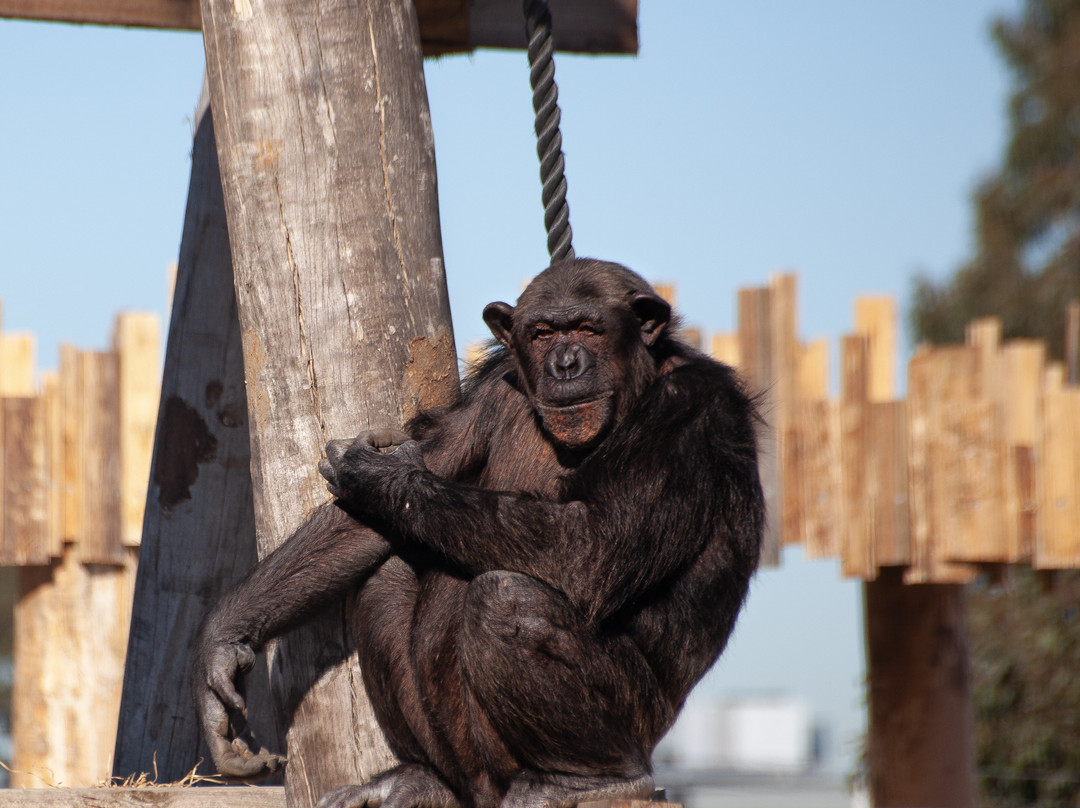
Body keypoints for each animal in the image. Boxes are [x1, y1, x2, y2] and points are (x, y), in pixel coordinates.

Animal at [194, 257, 768, 808]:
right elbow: (363, 524)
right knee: (388, 574)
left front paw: (379, 474)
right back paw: (419, 778)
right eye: (542, 333)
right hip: (466, 754)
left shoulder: (687, 409)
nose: (565, 364)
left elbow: (595, 543)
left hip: (634, 724)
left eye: (589, 329)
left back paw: (586, 780)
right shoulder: (494, 385)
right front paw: (224, 651)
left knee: (508, 599)